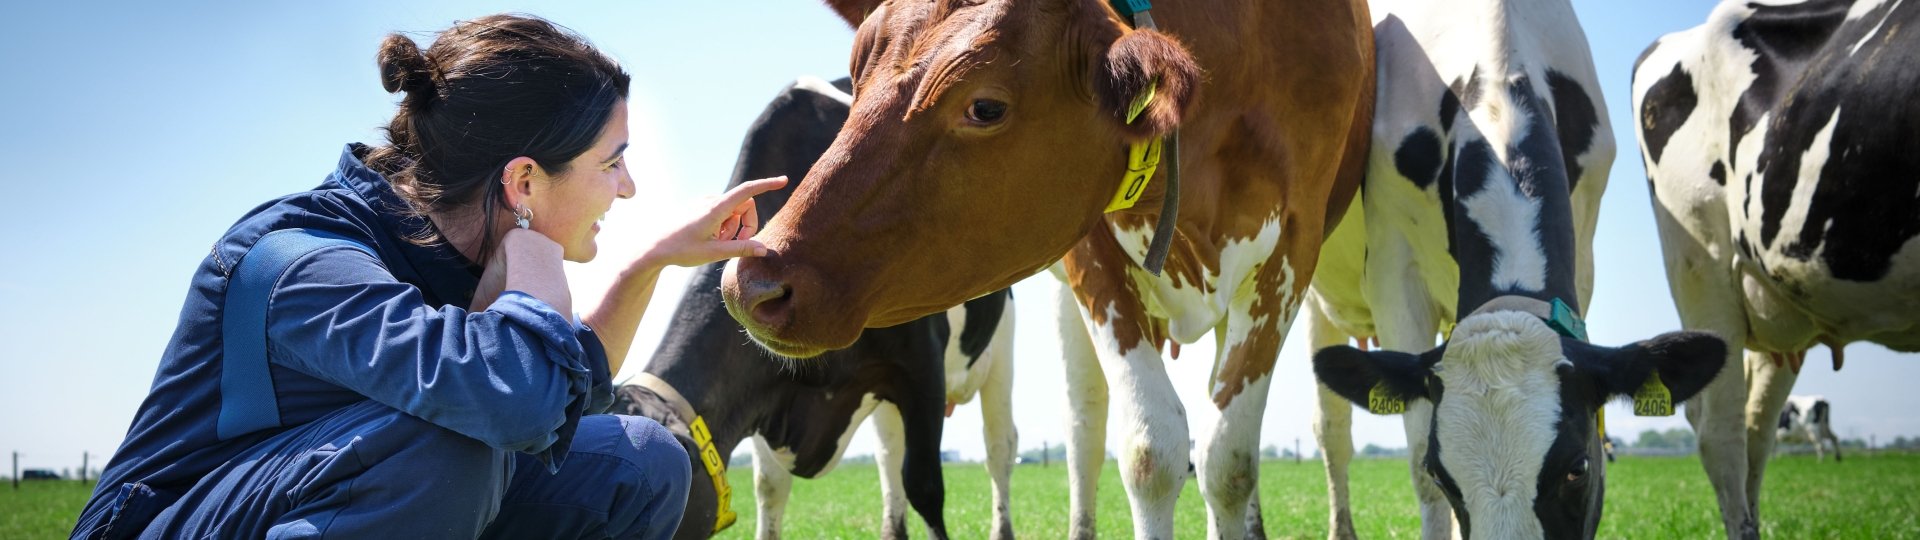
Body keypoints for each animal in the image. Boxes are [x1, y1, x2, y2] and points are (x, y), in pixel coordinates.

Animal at [615, 76, 1019, 540]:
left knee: (999, 448)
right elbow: (770, 489)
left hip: (1000, 350)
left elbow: (926, 485)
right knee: (889, 459)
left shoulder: (922, 367)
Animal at [718, 1, 1377, 537]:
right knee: (1085, 431)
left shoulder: (1294, 250)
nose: (752, 283)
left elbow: (1227, 461)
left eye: (985, 106)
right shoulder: (1093, 254)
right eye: (857, 76)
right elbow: (1151, 453)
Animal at [1308, 0, 1729, 538]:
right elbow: (1419, 467)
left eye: (1578, 469)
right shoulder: (1394, 275)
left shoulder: (1583, 259)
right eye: (1442, 473)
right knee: (1330, 431)